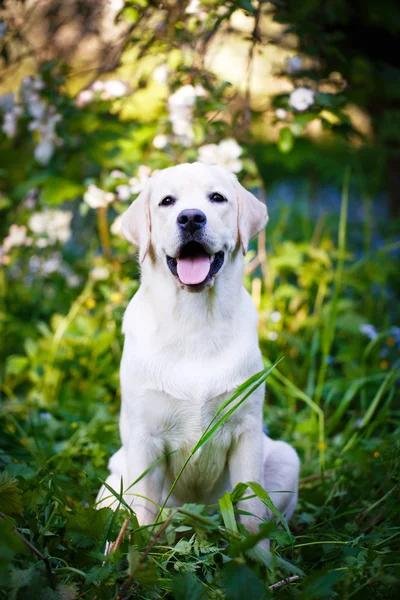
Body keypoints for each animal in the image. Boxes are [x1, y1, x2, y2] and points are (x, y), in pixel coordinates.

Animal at [95, 162, 298, 536]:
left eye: (217, 197)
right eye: (167, 201)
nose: (190, 218)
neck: (194, 322)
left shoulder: (247, 432)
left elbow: (251, 513)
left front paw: (256, 552)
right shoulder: (144, 440)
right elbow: (143, 513)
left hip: (286, 458)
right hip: (112, 484)